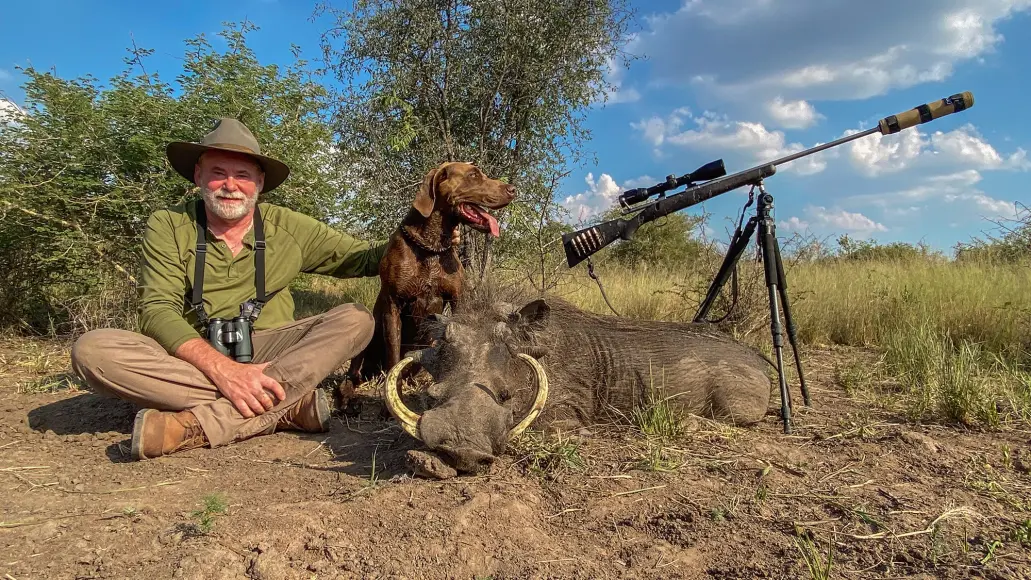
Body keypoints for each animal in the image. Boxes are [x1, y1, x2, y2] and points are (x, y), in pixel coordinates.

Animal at [340, 160, 513, 401]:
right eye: (473, 175)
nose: (513, 189)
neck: (431, 247)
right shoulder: (392, 305)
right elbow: (394, 356)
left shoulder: (457, 299)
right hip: (367, 337)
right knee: (352, 374)